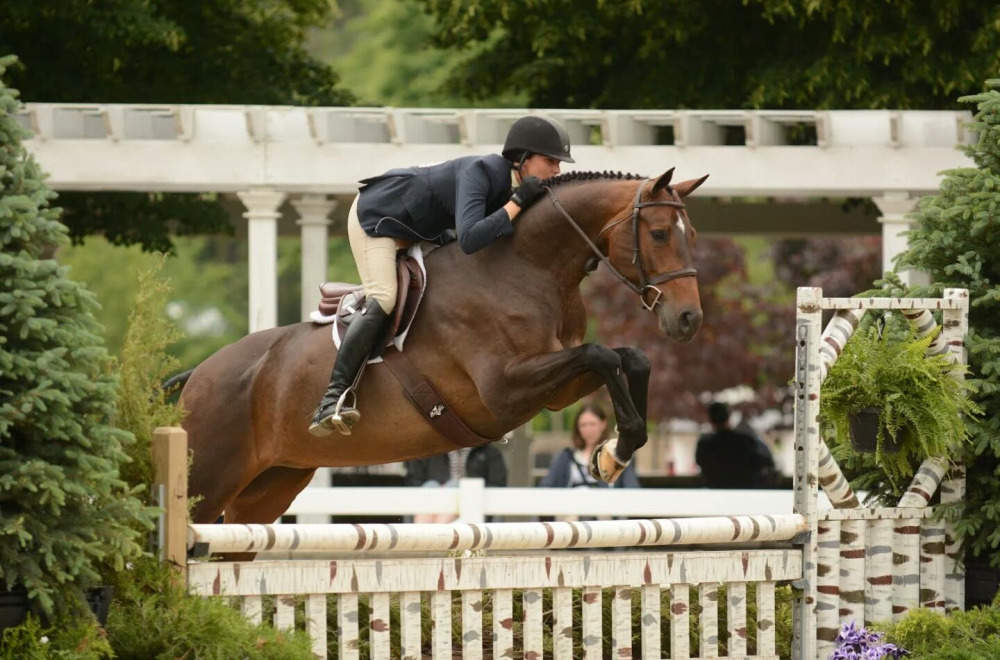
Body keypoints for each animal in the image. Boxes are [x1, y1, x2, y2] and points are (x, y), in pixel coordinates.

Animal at [184, 170, 708, 524]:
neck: (528, 267)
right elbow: (601, 355)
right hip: (206, 482)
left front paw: (614, 452)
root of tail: (195, 376)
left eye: (693, 235)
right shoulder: (504, 390)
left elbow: (628, 358)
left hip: (268, 489)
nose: (689, 319)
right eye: (659, 234)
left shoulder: (554, 388)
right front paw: (616, 449)